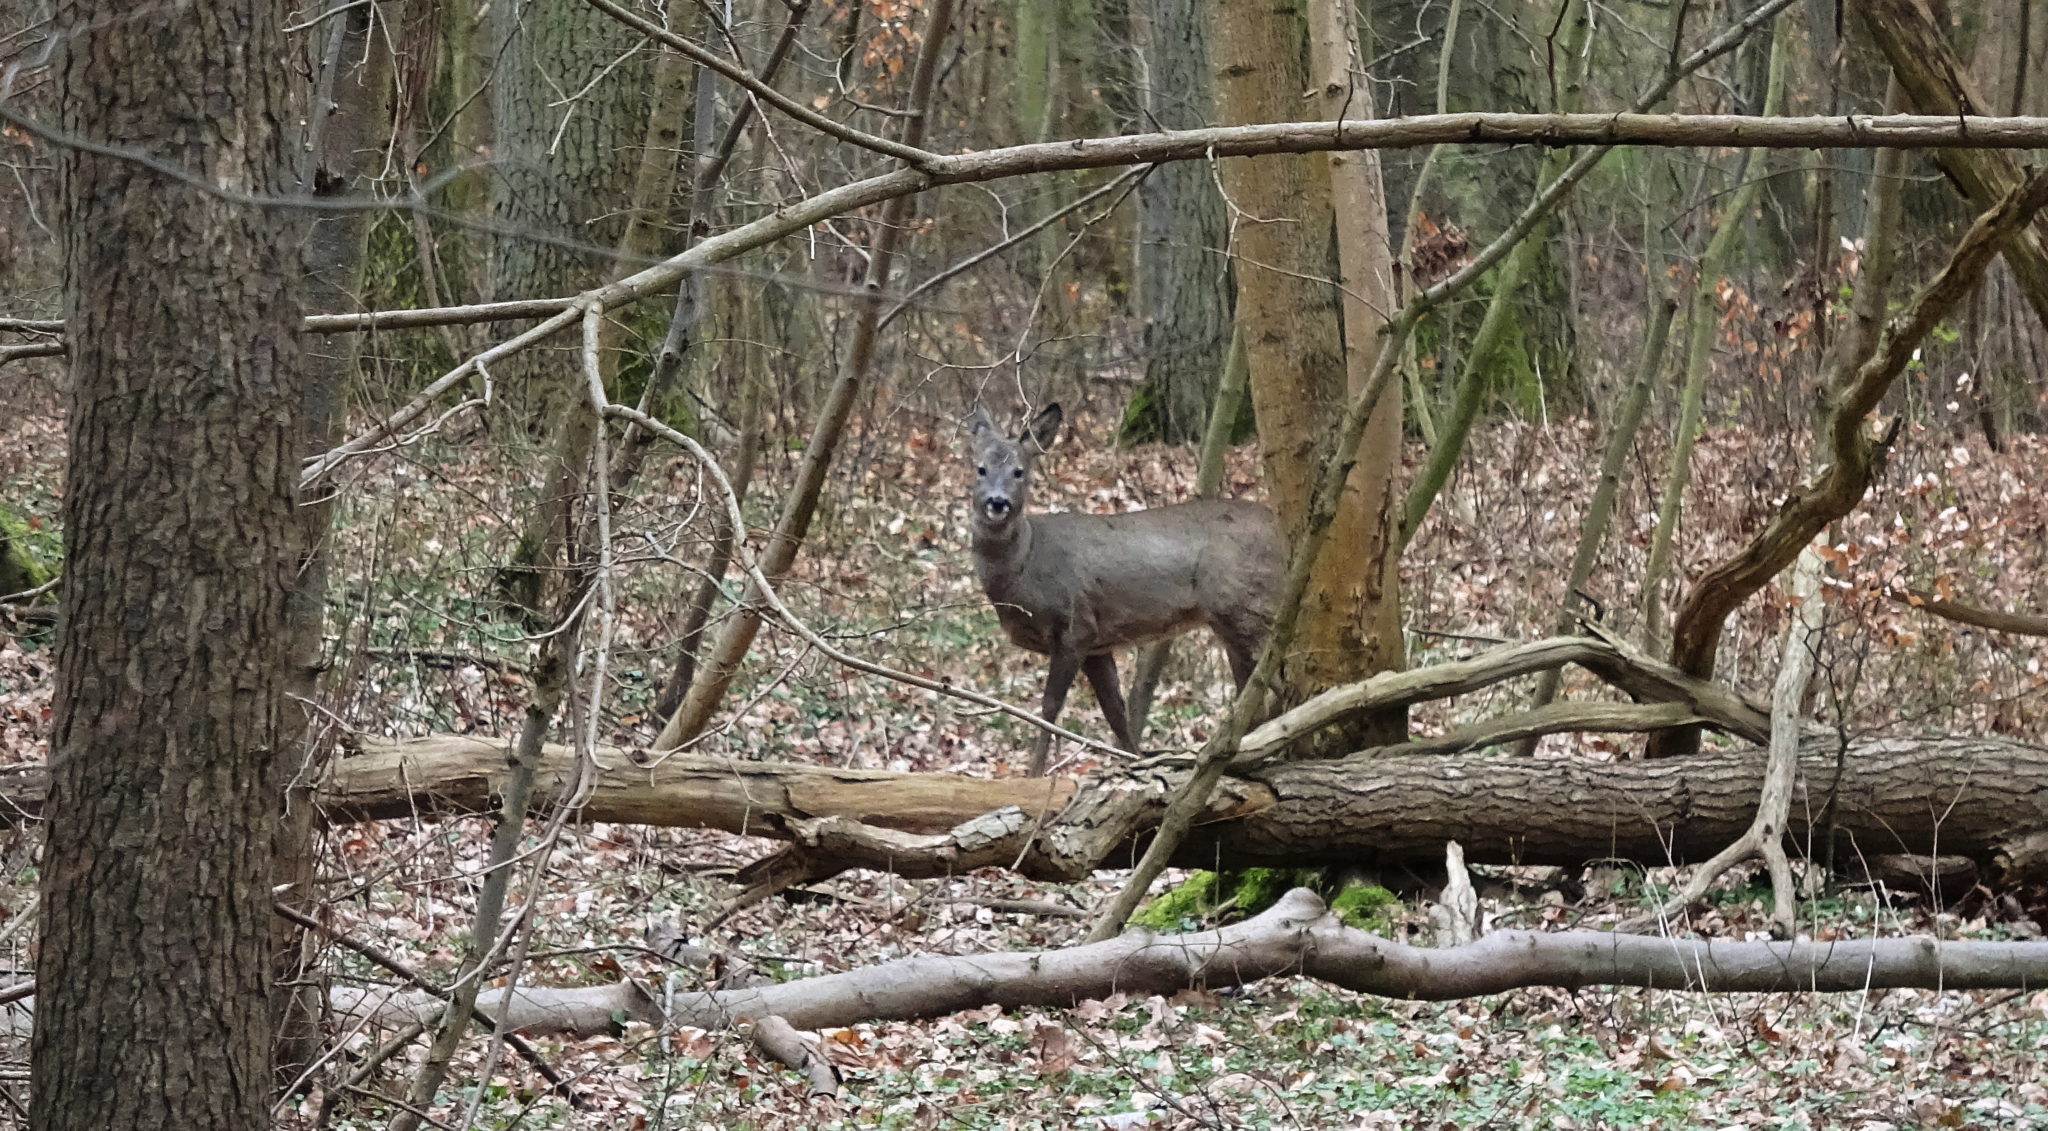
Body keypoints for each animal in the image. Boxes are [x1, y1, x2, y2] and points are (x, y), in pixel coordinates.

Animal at [962, 401, 1277, 774]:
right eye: (980, 469)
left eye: (1019, 471)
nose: (997, 502)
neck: (1027, 564)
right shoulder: (1098, 643)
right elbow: (1116, 711)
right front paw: (1132, 761)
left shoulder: (1075, 625)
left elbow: (1050, 707)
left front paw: (1033, 773)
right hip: (1232, 623)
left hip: (1249, 606)